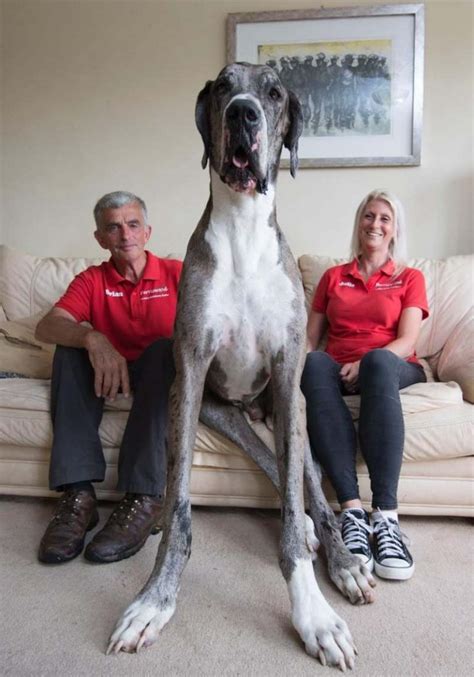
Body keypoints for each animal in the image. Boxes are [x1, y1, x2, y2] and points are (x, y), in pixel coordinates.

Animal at [106, 64, 374, 672]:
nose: (243, 114)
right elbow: (179, 508)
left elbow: (298, 505)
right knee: (274, 466)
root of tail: (252, 409)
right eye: (224, 87)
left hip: (292, 407)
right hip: (222, 413)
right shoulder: (189, 375)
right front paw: (155, 601)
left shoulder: (288, 370)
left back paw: (342, 558)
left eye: (273, 92)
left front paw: (314, 614)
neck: (244, 230)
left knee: (309, 482)